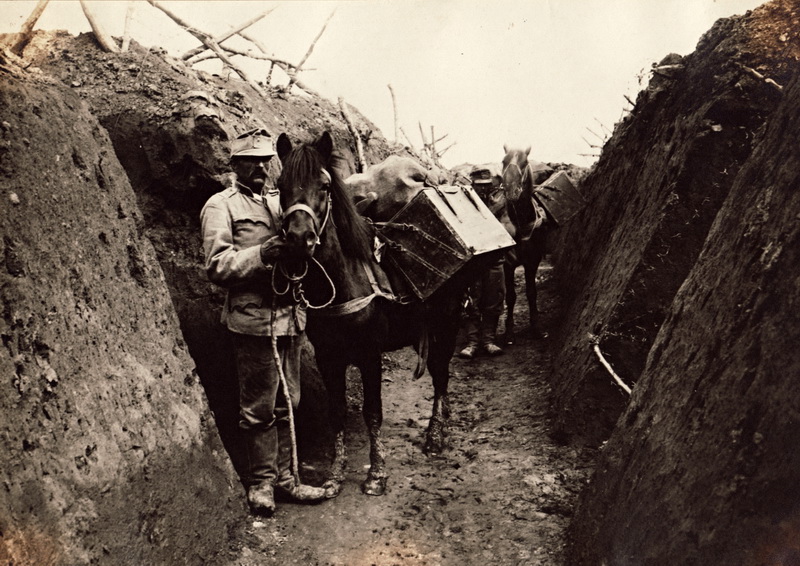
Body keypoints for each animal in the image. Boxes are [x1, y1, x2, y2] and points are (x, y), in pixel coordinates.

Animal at [276, 132, 468, 496]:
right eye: (280, 185)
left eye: (324, 186)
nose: (298, 238)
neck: (343, 282)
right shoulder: (328, 357)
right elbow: (337, 413)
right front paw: (335, 473)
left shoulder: (369, 355)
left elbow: (372, 412)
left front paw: (377, 474)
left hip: (447, 325)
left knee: (441, 376)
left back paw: (435, 436)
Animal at [500, 145, 552, 342]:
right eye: (504, 161)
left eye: (525, 162)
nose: (511, 190)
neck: (520, 224)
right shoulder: (507, 264)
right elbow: (511, 296)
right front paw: (508, 331)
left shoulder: (533, 261)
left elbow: (531, 293)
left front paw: (536, 327)